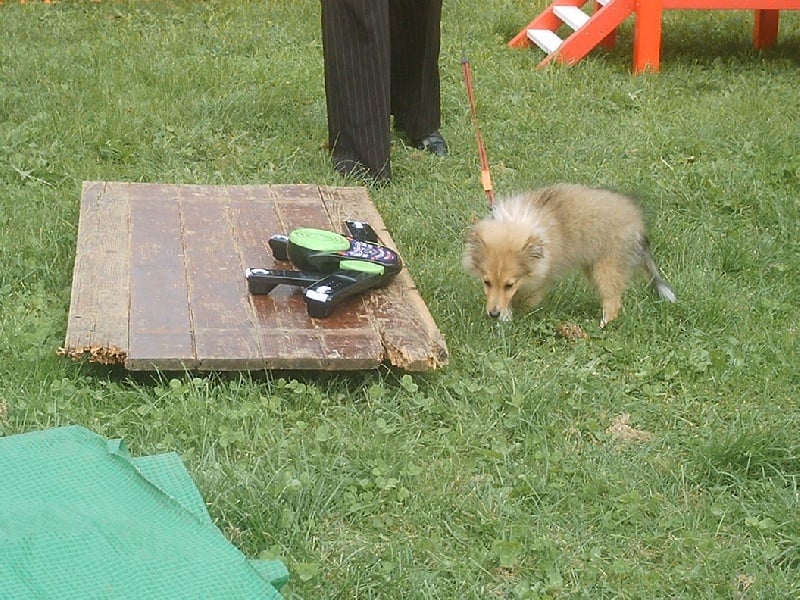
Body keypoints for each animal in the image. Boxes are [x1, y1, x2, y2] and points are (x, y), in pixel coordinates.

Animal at [462, 185, 676, 326]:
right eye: (486, 282)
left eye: (509, 284)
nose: (493, 314)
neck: (518, 223)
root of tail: (638, 223)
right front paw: (506, 317)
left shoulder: (544, 276)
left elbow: (528, 297)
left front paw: (513, 314)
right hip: (592, 265)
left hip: (608, 266)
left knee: (613, 300)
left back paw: (604, 325)